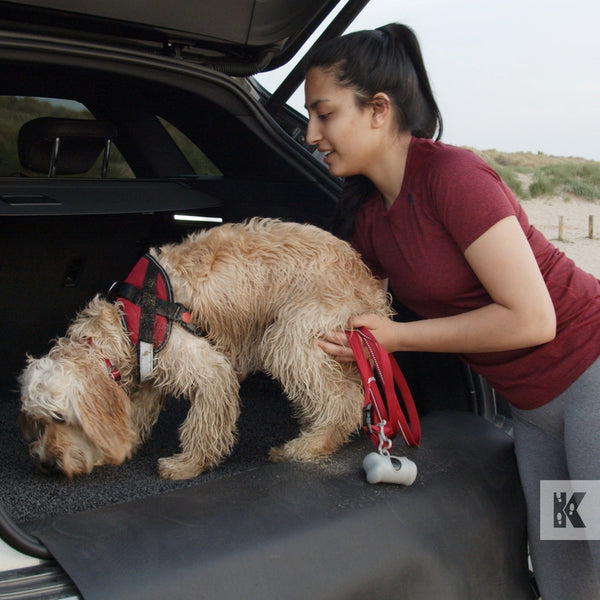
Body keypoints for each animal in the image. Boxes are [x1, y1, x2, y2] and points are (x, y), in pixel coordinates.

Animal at [18, 218, 392, 480]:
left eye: (59, 417)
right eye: (36, 421)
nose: (46, 463)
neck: (125, 322)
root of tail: (369, 282)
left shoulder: (210, 370)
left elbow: (203, 424)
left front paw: (187, 465)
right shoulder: (150, 376)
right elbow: (136, 414)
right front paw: (126, 444)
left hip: (292, 338)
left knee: (343, 401)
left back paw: (308, 445)